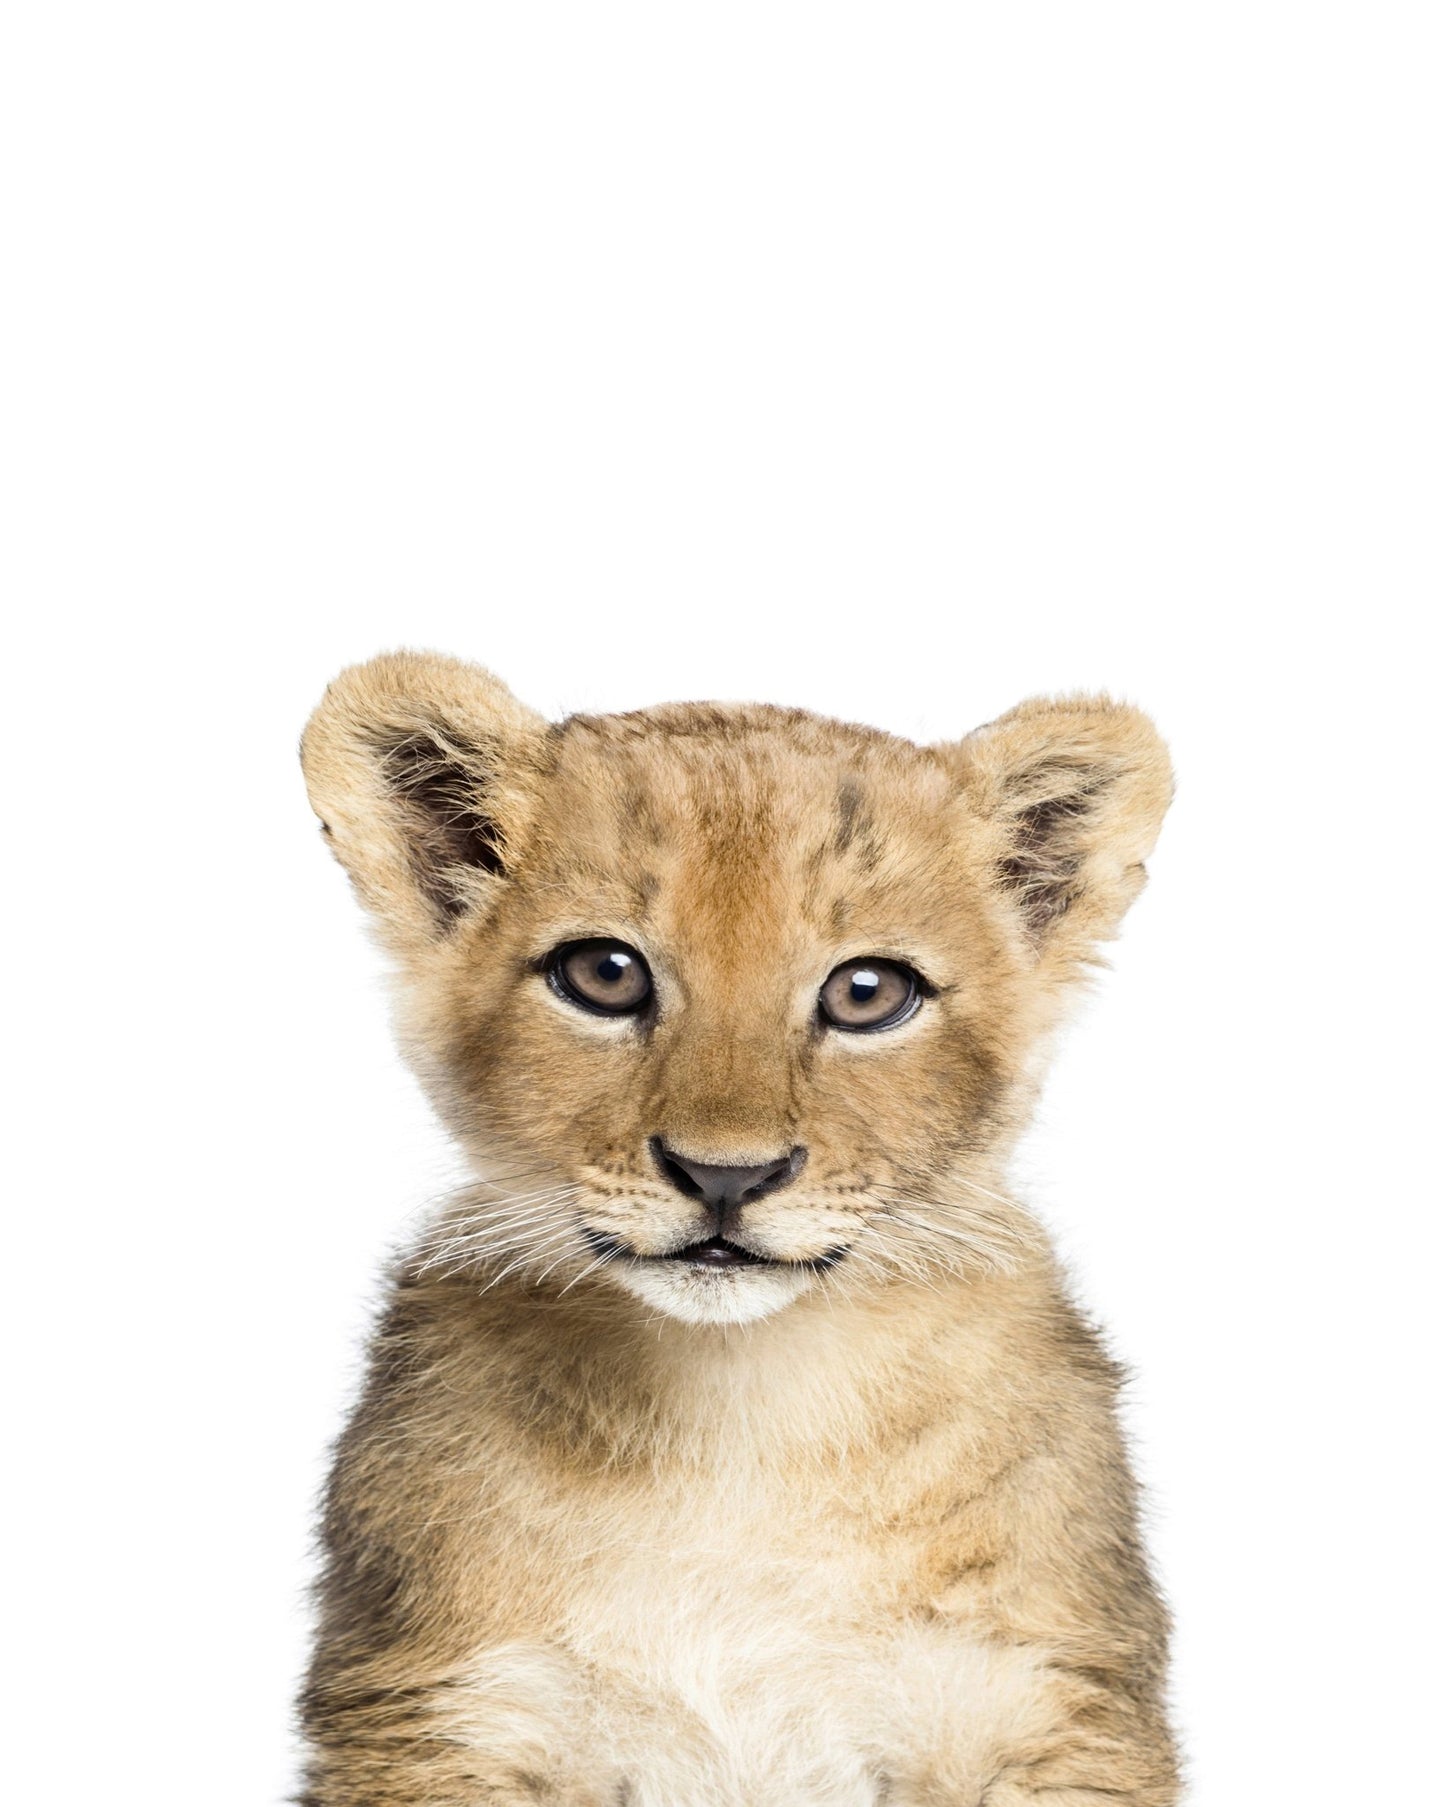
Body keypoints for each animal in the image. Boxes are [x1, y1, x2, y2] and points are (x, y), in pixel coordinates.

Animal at [295, 650, 1180, 1806]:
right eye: (605, 974)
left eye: (867, 992)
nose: (726, 1175)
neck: (740, 1413)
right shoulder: (444, 1710)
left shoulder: (1043, 1702)